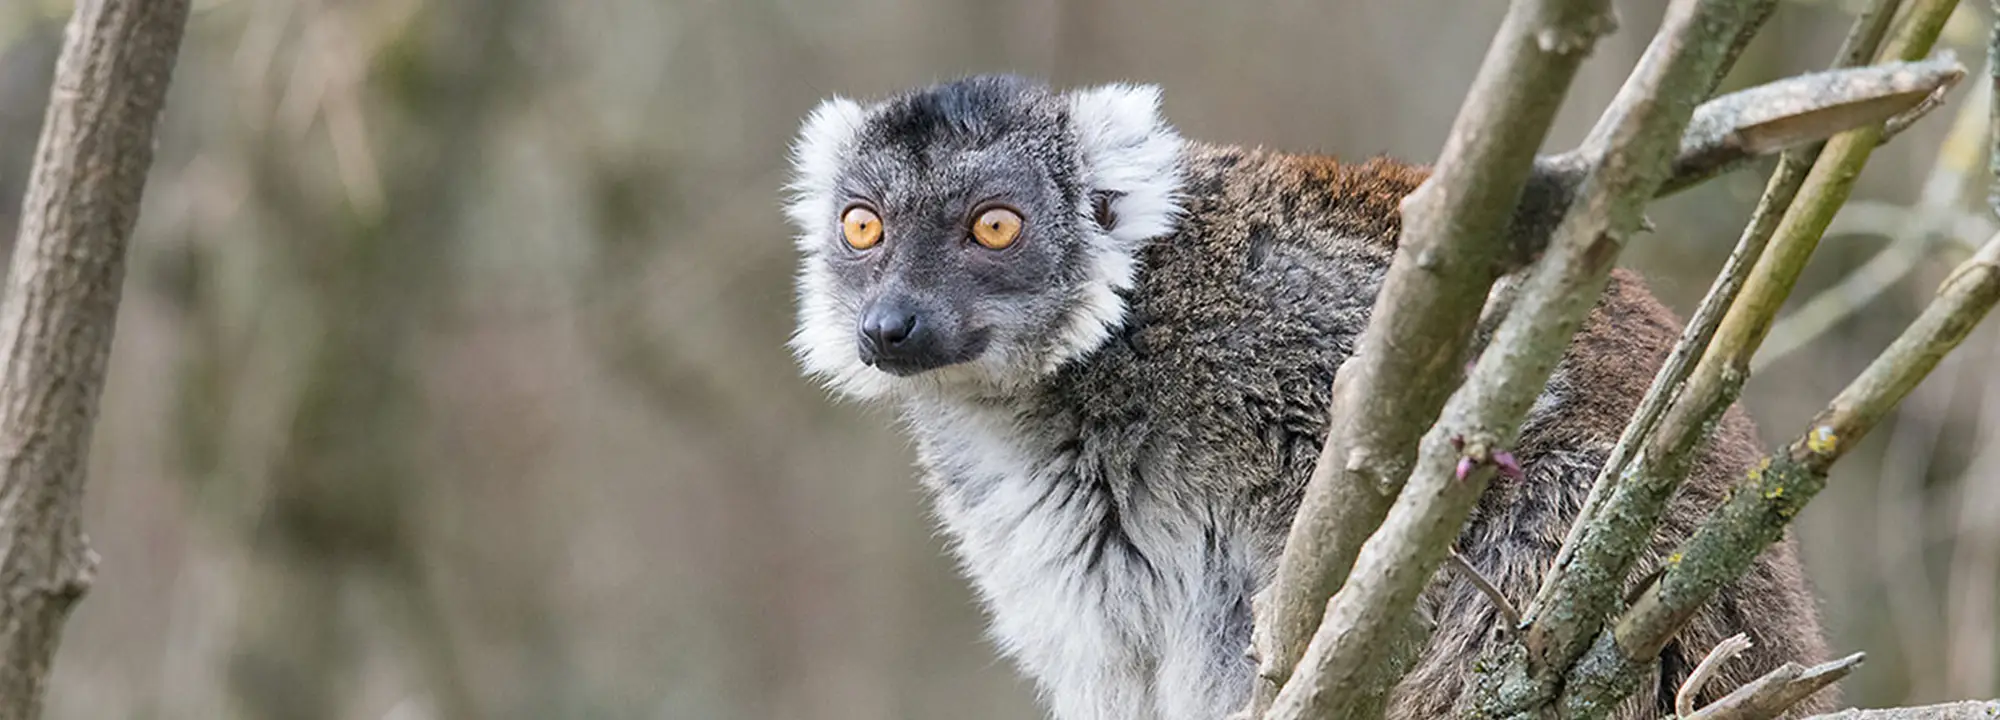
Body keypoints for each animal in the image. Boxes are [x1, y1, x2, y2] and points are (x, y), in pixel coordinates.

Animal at [783, 74, 1830, 720]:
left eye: (994, 227)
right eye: (862, 228)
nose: (890, 324)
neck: (1084, 371)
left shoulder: (1284, 312)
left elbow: (1486, 415)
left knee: (1552, 491)